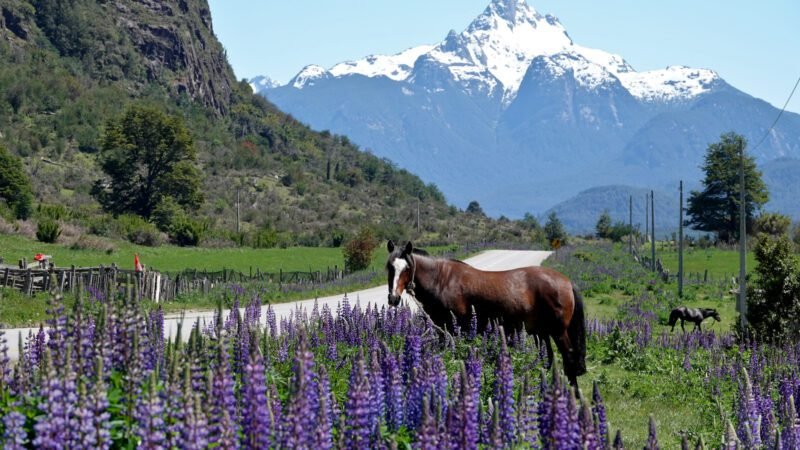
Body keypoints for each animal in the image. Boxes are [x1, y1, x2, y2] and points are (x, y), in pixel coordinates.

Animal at [385, 240, 587, 386]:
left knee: (569, 359)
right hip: (542, 333)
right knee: (548, 359)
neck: (442, 280)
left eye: (406, 269)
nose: (393, 298)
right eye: (389, 267)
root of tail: (567, 282)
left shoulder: (454, 329)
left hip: (558, 332)